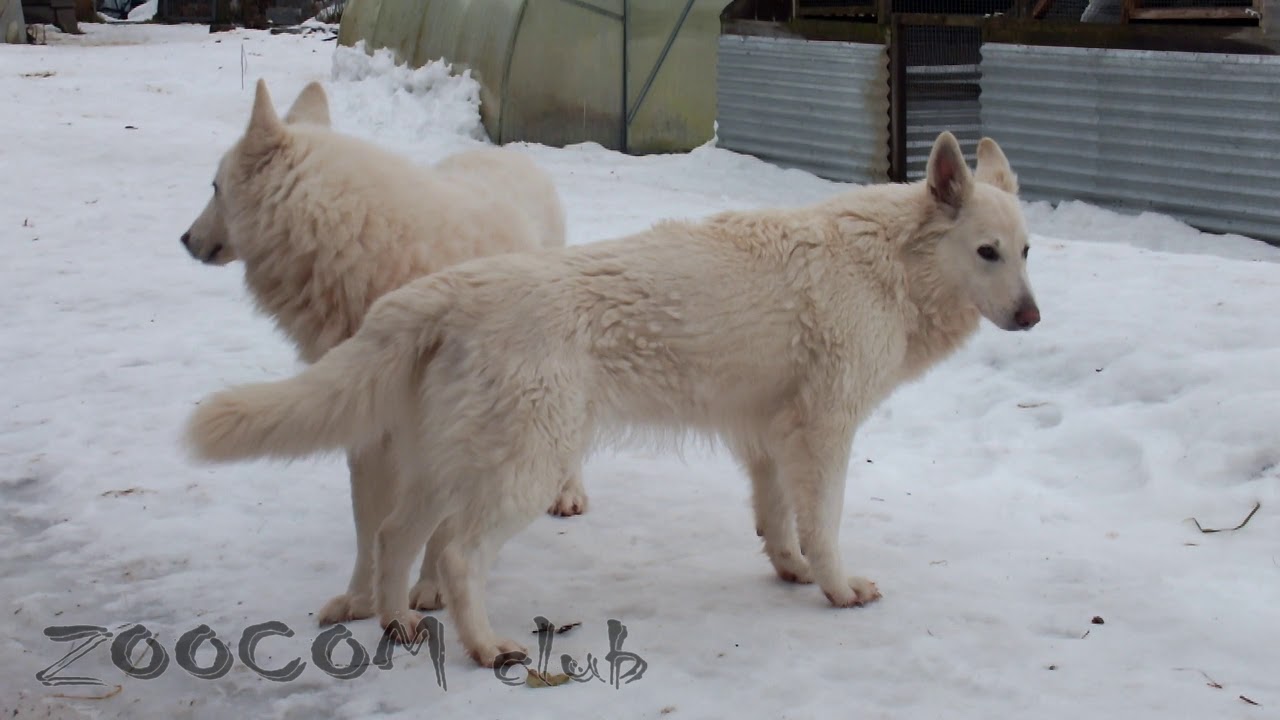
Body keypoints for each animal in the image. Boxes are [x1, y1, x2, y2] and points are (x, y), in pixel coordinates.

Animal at [181, 75, 588, 627]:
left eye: (215, 188)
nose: (185, 239)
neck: (372, 252)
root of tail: (507, 155)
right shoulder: (368, 428)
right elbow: (370, 523)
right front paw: (361, 599)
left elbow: (439, 529)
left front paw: (431, 588)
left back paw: (568, 492)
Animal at [183, 130, 1039, 666]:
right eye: (986, 253)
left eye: (1026, 252)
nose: (1032, 317)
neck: (887, 265)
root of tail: (450, 290)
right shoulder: (824, 431)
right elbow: (823, 525)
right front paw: (836, 589)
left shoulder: (767, 436)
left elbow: (777, 522)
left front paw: (790, 571)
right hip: (524, 468)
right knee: (456, 554)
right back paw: (483, 647)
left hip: (449, 463)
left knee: (396, 536)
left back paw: (397, 623)